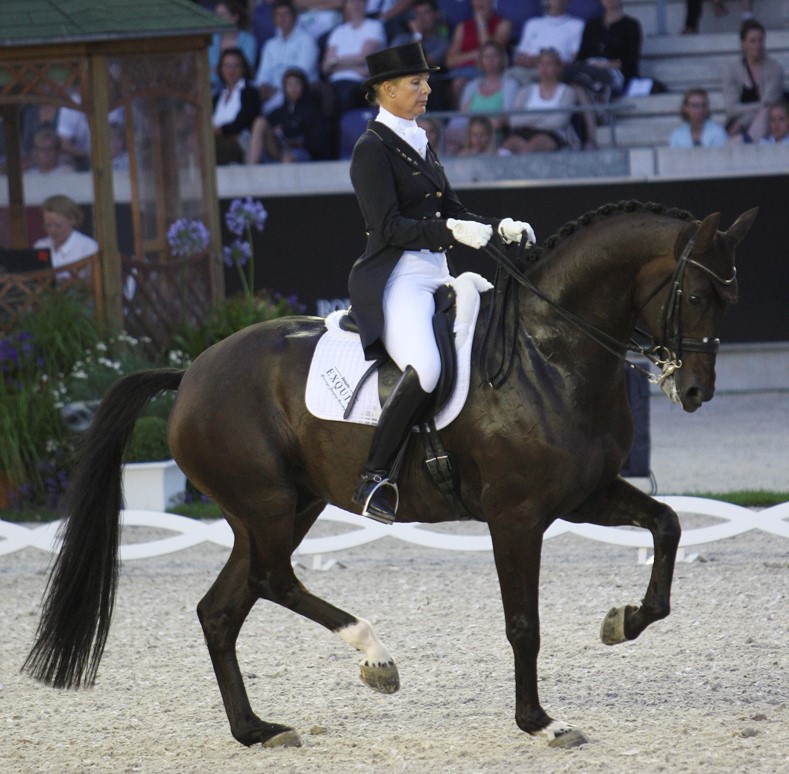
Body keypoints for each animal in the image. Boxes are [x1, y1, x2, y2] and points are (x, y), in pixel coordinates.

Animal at [24, 201, 757, 750]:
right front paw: (540, 723)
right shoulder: (515, 515)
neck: (547, 352)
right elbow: (523, 622)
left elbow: (666, 525)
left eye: (731, 297)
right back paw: (374, 658)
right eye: (695, 294)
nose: (694, 390)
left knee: (223, 609)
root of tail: (191, 373)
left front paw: (623, 621)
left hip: (284, 508)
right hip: (266, 503)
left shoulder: (585, 495)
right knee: (271, 581)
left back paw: (255, 730)